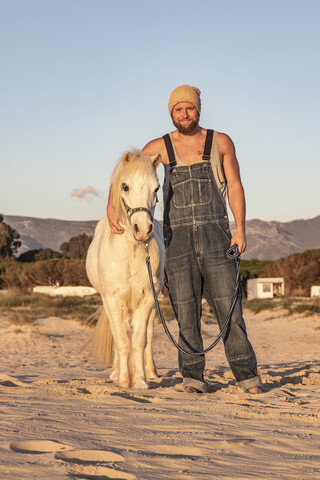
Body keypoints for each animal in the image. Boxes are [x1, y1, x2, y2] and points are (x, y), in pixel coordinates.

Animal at [86, 150, 164, 390]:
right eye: (125, 186)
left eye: (156, 188)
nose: (143, 230)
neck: (130, 250)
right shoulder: (112, 299)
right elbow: (121, 339)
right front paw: (122, 379)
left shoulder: (148, 298)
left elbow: (139, 340)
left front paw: (139, 380)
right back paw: (116, 371)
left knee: (148, 334)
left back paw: (151, 372)